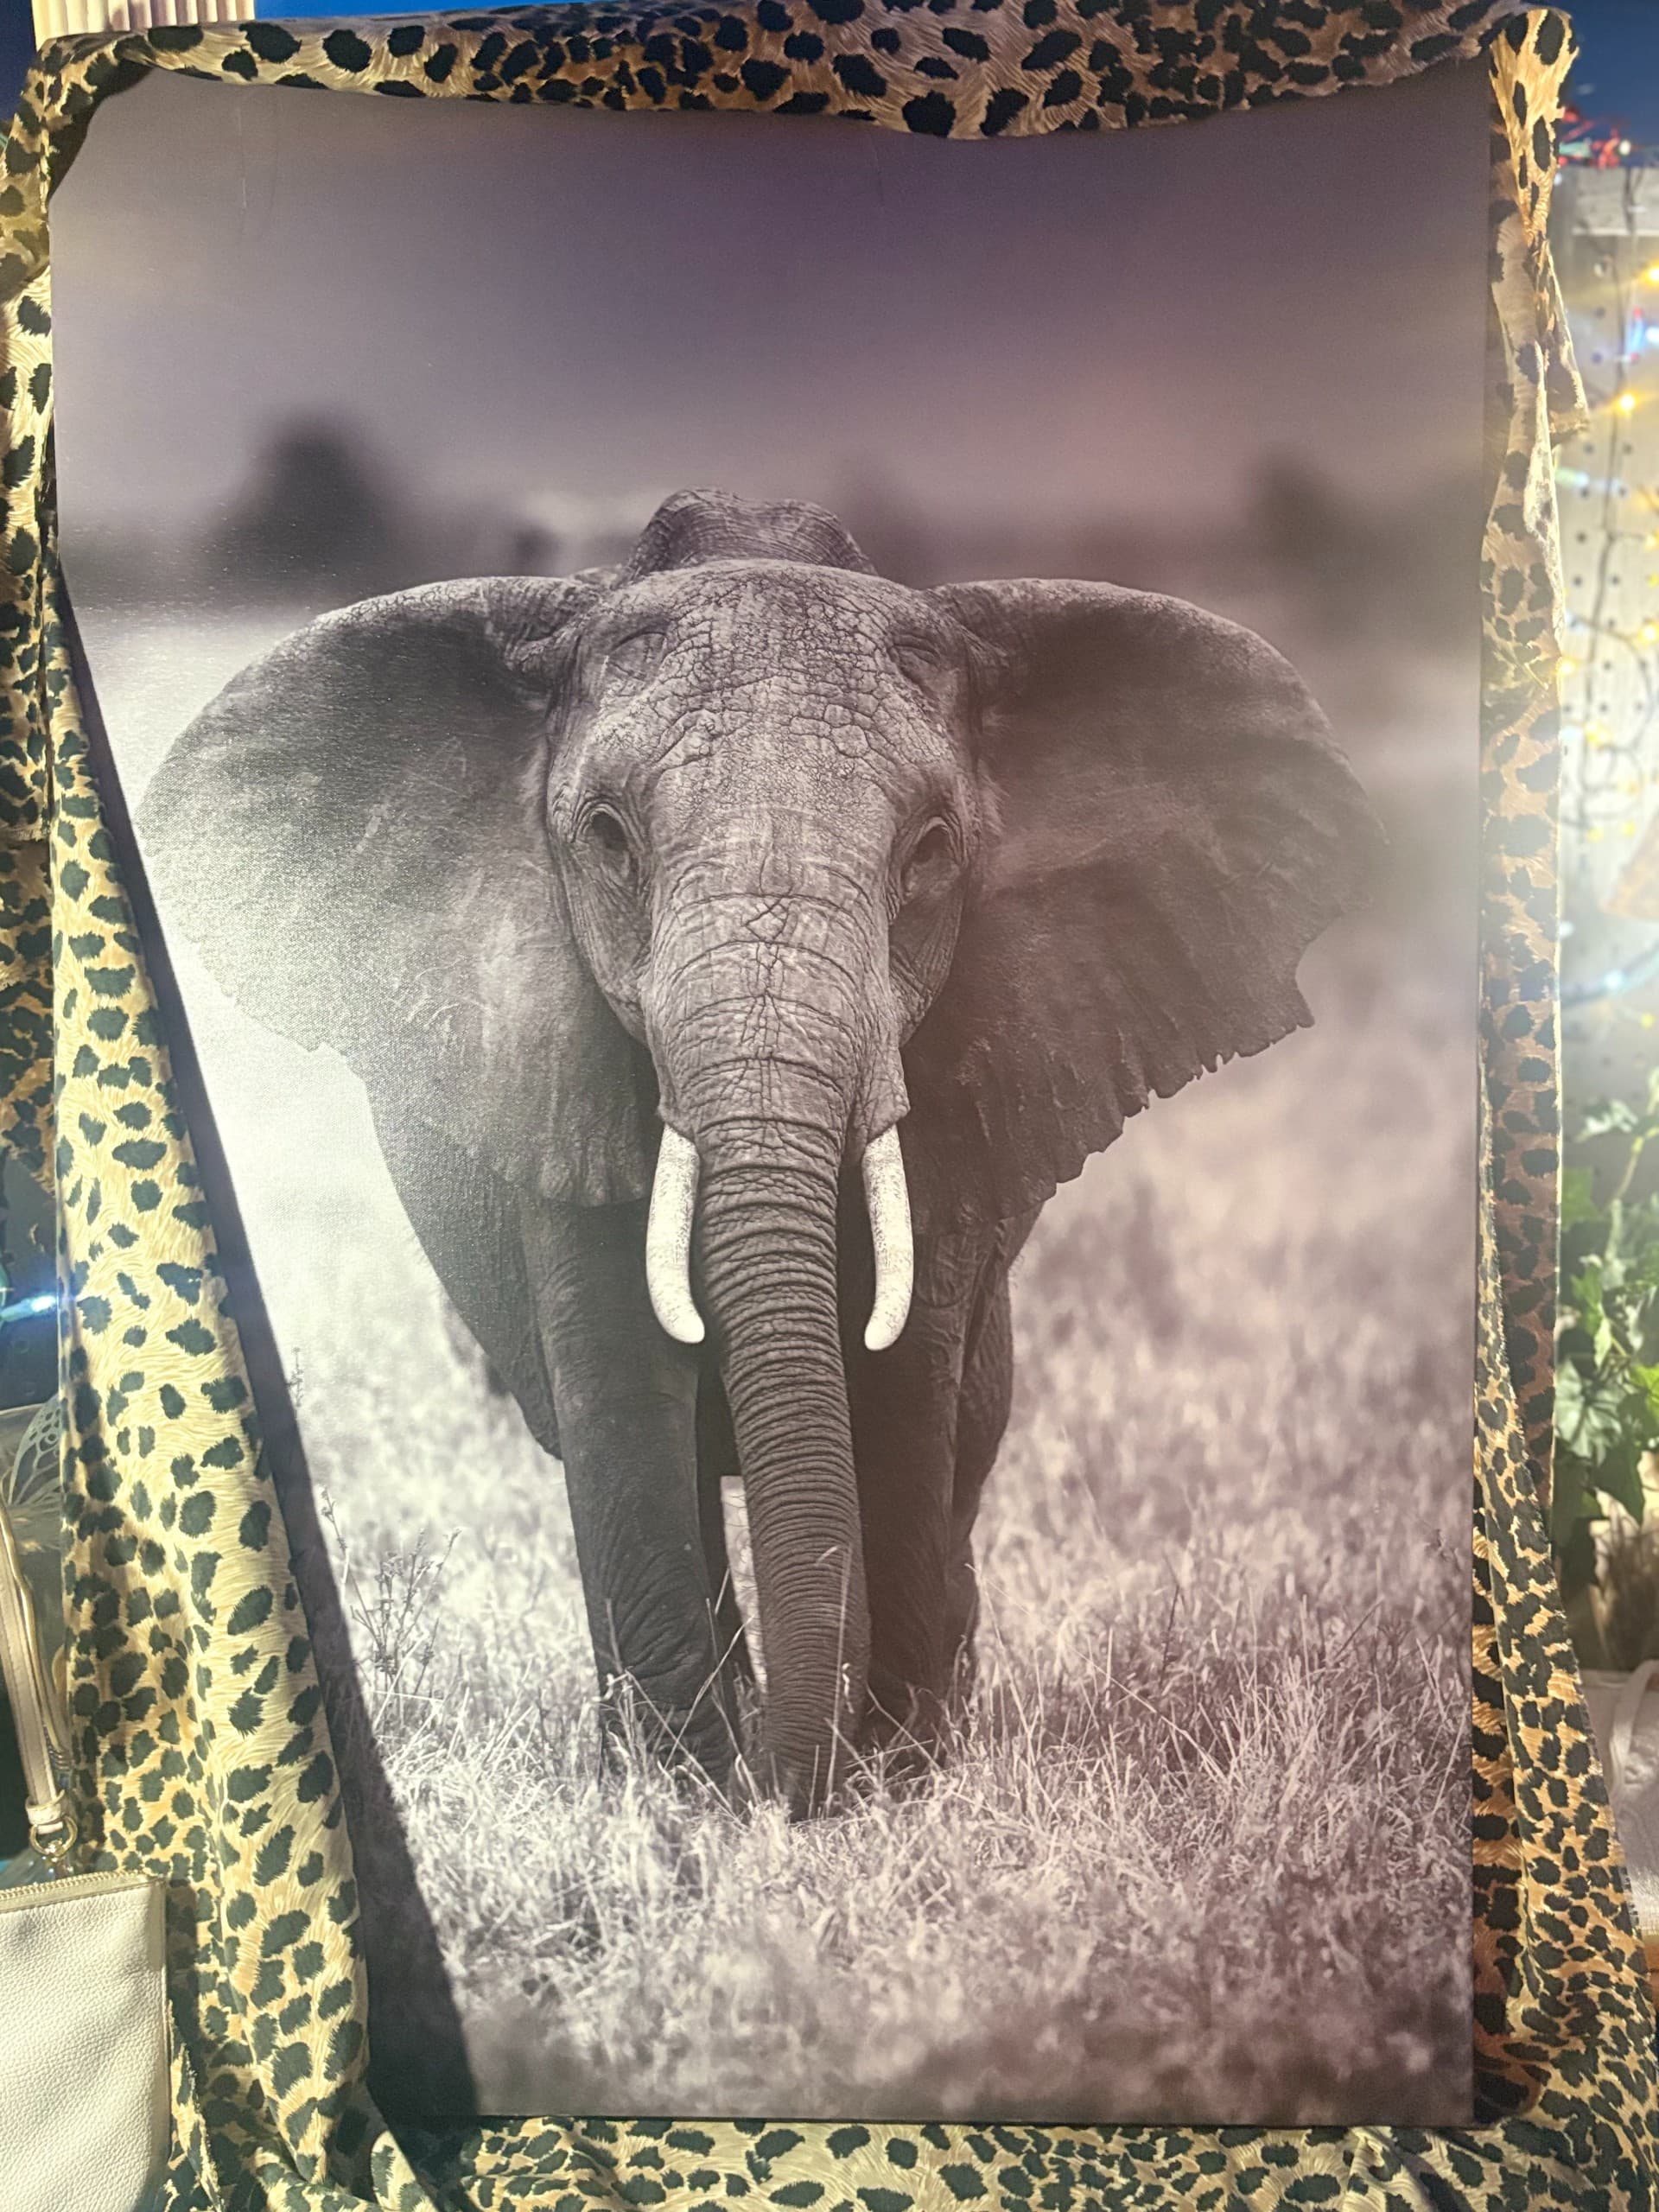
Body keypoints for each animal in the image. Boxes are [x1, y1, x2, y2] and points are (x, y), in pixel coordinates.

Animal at [136, 487, 1383, 1816]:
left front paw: (892, 1784)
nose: (801, 1786)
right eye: (609, 840)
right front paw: (687, 1800)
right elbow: (621, 1387)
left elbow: (905, 1382)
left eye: (930, 852)